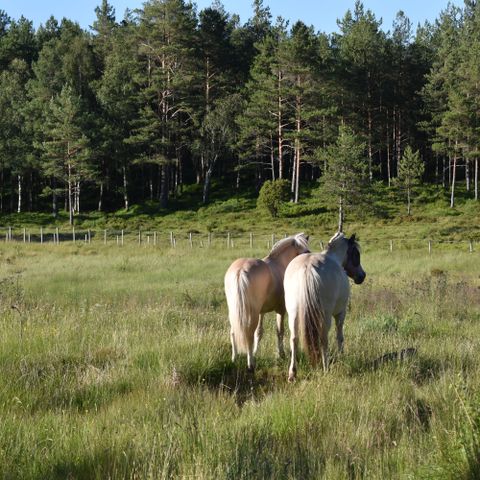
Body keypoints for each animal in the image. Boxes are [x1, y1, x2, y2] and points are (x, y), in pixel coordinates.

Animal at [224, 232, 310, 372]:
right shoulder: (281, 310)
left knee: (233, 332)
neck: (280, 263)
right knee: (248, 333)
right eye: (305, 250)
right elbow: (279, 331)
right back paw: (250, 365)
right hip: (251, 313)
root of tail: (240, 270)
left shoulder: (261, 312)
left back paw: (234, 359)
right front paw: (281, 354)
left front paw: (256, 352)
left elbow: (259, 332)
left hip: (234, 312)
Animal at [284, 232, 366, 382]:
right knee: (324, 339)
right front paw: (341, 355)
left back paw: (292, 373)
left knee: (294, 339)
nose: (362, 276)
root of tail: (308, 267)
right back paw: (326, 367)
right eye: (356, 254)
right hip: (325, 316)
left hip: (293, 314)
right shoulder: (340, 313)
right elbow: (339, 335)